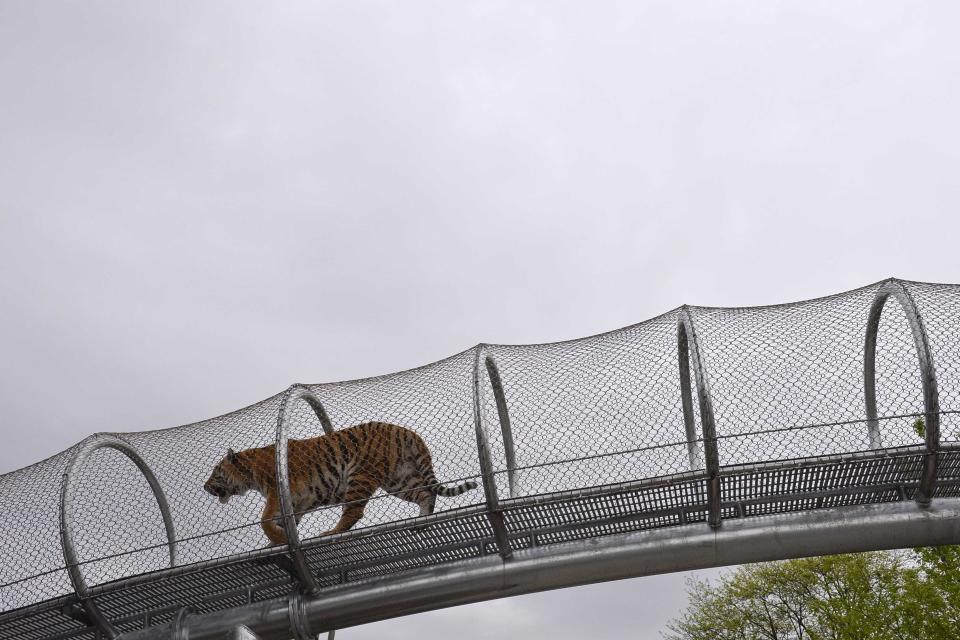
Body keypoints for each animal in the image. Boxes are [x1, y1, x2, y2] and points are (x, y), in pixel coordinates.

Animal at [202, 420, 476, 544]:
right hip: (400, 479)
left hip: (359, 475)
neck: (250, 472)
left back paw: (330, 532)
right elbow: (286, 521)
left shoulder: (277, 491)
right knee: (426, 494)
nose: (204, 487)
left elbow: (265, 519)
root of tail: (405, 431)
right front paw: (280, 539)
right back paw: (422, 522)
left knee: (354, 512)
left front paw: (277, 537)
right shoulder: (297, 502)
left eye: (215, 471)